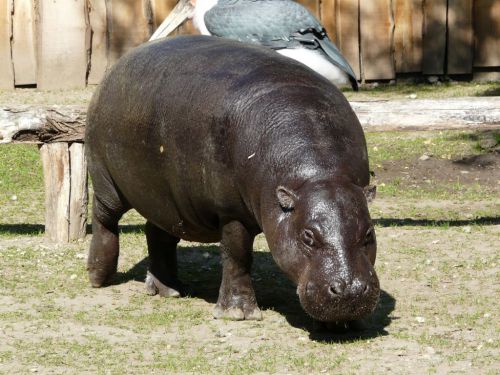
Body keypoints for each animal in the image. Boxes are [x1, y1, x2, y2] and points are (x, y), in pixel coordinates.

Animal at [86, 36, 380, 324]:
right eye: (308, 237)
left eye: (369, 233)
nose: (350, 291)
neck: (320, 177)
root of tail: (116, 66)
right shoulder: (231, 212)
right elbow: (237, 257)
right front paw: (238, 313)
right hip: (107, 182)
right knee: (104, 218)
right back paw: (98, 277)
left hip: (164, 198)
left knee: (158, 232)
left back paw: (168, 290)